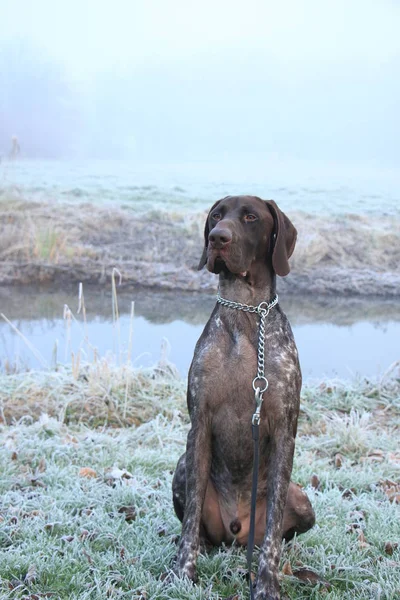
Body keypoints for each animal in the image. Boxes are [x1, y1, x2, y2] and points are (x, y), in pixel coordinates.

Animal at [173, 197, 316, 600]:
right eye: (216, 216)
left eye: (251, 217)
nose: (218, 238)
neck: (246, 310)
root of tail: (236, 531)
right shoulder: (199, 425)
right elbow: (190, 520)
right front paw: (183, 572)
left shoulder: (285, 431)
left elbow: (272, 533)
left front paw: (266, 583)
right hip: (182, 469)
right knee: (198, 528)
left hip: (302, 500)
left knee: (279, 533)